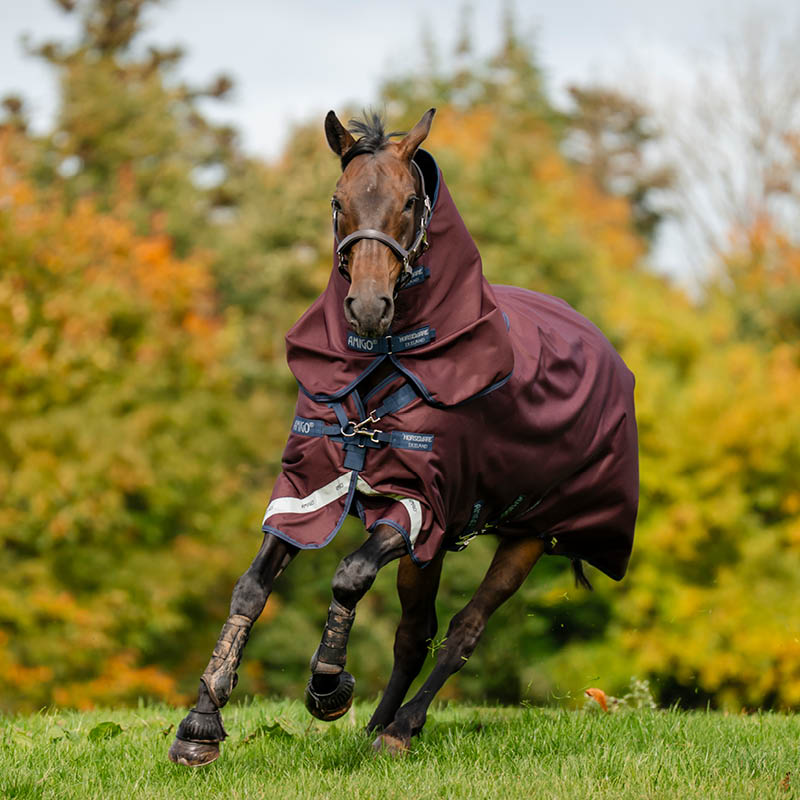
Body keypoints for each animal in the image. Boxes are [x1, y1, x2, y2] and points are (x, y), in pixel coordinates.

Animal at [168, 108, 639, 765]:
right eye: (338, 201)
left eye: (410, 202)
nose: (368, 307)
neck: (384, 371)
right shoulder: (307, 493)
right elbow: (251, 589)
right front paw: (201, 723)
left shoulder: (417, 505)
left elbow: (349, 575)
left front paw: (327, 687)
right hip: (434, 551)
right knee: (414, 635)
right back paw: (380, 724)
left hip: (526, 537)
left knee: (464, 629)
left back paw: (401, 726)